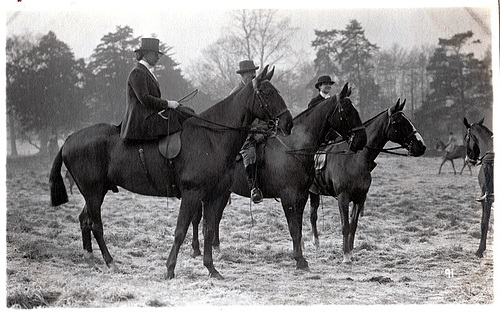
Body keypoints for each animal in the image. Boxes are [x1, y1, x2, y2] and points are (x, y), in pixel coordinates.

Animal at [49, 64, 294, 280]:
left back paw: (89, 258)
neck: (212, 137)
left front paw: (212, 269)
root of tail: (68, 139)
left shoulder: (215, 196)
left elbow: (208, 230)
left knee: (85, 219)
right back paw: (110, 262)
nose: (288, 124)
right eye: (267, 93)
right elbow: (181, 230)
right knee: (96, 224)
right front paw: (170, 269)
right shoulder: (192, 194)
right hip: (93, 191)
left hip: (96, 191)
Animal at [189, 83, 366, 270]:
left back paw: (215, 248)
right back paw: (197, 250)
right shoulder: (288, 196)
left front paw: (301, 257)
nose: (362, 140)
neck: (294, 147)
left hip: (222, 193)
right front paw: (299, 260)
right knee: (199, 219)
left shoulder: (302, 196)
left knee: (213, 219)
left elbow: (299, 227)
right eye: (347, 111)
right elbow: (293, 228)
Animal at [308, 100, 426, 264]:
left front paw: (350, 252)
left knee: (313, 215)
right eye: (398, 122)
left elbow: (353, 226)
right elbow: (345, 226)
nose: (421, 146)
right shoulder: (343, 198)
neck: (355, 158)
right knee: (311, 216)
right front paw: (345, 256)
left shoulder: (360, 198)